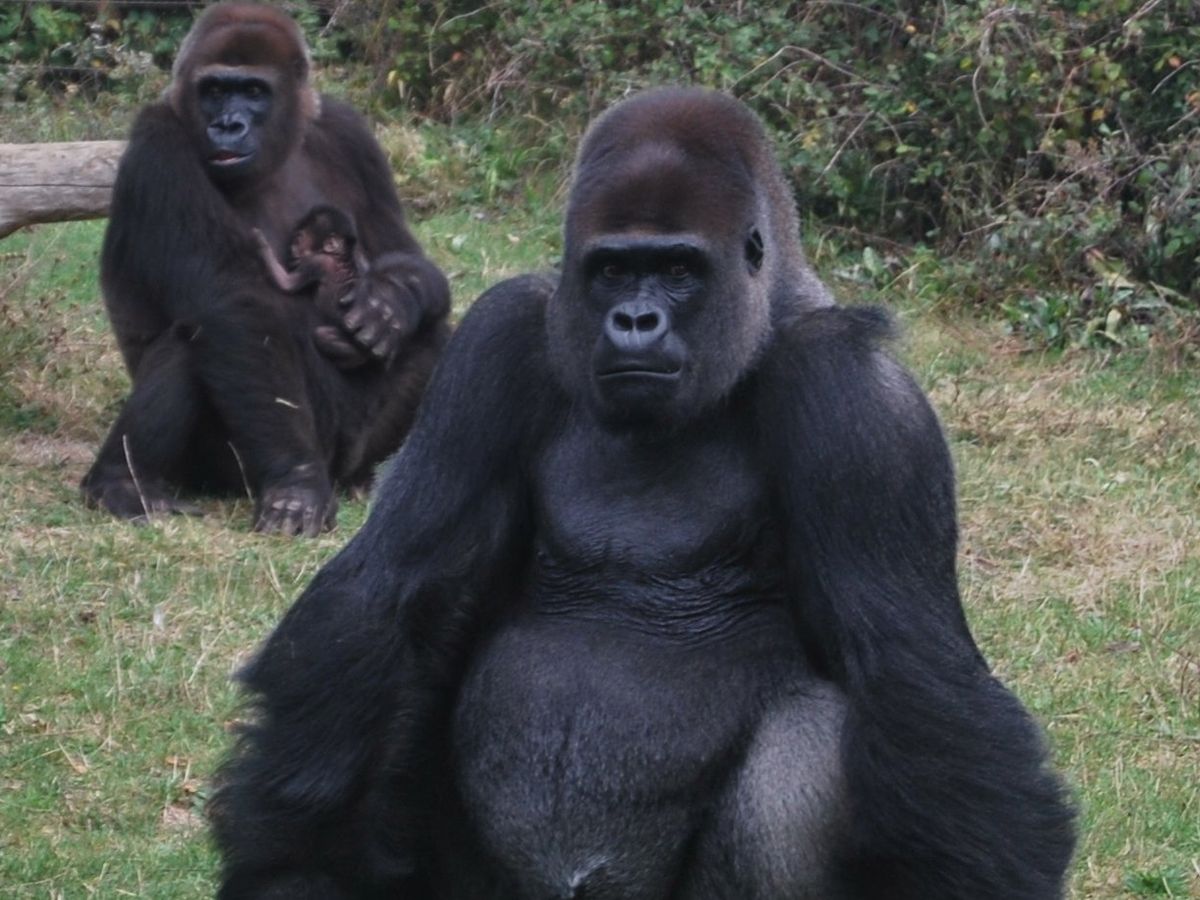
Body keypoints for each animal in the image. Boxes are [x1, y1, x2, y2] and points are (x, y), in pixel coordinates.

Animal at [81, 3, 451, 535]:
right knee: (192, 340)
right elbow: (233, 303)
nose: (228, 126)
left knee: (433, 334)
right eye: (214, 90)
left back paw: (371, 475)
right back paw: (121, 480)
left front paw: (390, 302)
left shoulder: (350, 133)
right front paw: (296, 482)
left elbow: (403, 254)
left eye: (254, 91)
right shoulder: (158, 142)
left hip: (352, 452)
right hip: (225, 469)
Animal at [211, 88, 1075, 897]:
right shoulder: (497, 340)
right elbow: (386, 592)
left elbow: (910, 671)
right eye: (613, 270)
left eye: (680, 270)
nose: (635, 320)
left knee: (812, 742)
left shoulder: (857, 394)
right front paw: (292, 865)